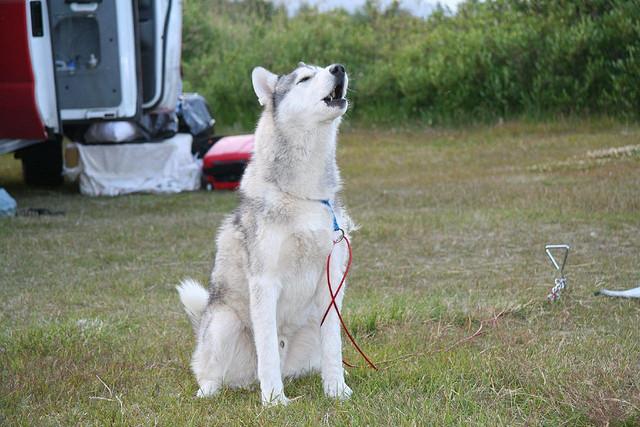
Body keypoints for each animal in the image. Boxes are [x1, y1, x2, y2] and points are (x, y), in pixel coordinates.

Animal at [178, 62, 352, 404]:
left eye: (324, 67)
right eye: (305, 78)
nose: (338, 68)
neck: (305, 195)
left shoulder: (331, 282)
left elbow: (334, 348)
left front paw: (337, 391)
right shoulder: (265, 281)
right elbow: (268, 351)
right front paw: (274, 401)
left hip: (310, 322)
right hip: (224, 323)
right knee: (210, 372)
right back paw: (208, 390)